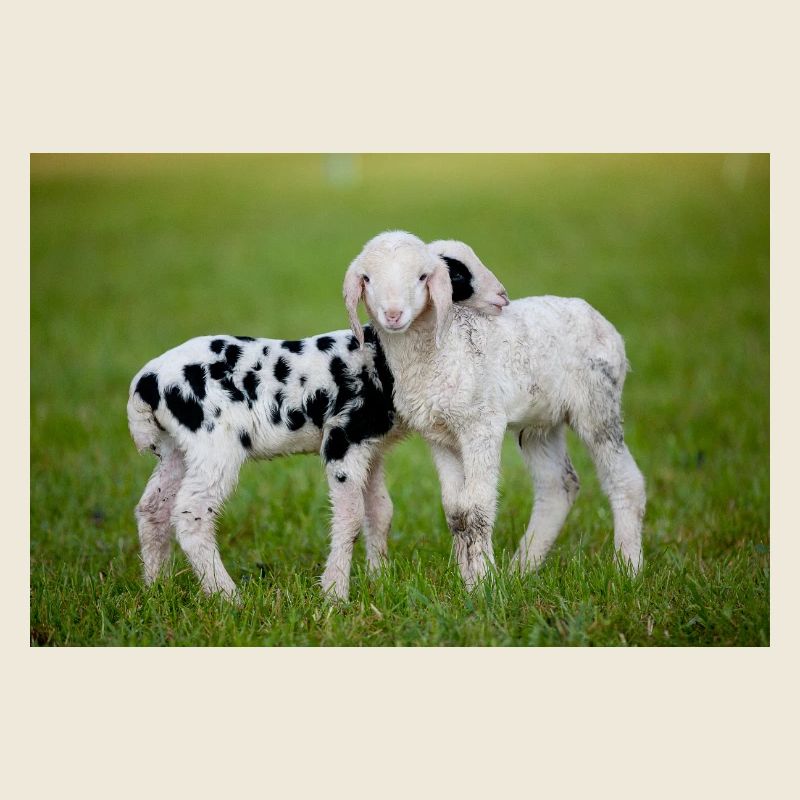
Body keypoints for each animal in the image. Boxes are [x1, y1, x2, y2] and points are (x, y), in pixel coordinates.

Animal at [127, 242, 509, 600]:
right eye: (455, 273)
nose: (502, 296)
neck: (381, 356)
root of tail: (147, 382)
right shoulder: (344, 436)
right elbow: (350, 517)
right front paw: (335, 593)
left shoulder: (371, 446)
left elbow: (379, 512)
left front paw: (379, 579)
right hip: (214, 445)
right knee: (191, 513)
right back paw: (228, 596)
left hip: (177, 448)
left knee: (153, 509)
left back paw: (155, 588)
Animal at [343, 231, 646, 588]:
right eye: (367, 279)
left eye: (422, 276)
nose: (393, 315)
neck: (444, 346)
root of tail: (598, 318)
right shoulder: (439, 435)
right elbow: (456, 511)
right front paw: (468, 578)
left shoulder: (482, 424)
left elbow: (476, 508)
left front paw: (483, 583)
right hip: (540, 423)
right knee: (558, 486)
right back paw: (522, 569)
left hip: (598, 404)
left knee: (626, 482)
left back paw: (628, 568)